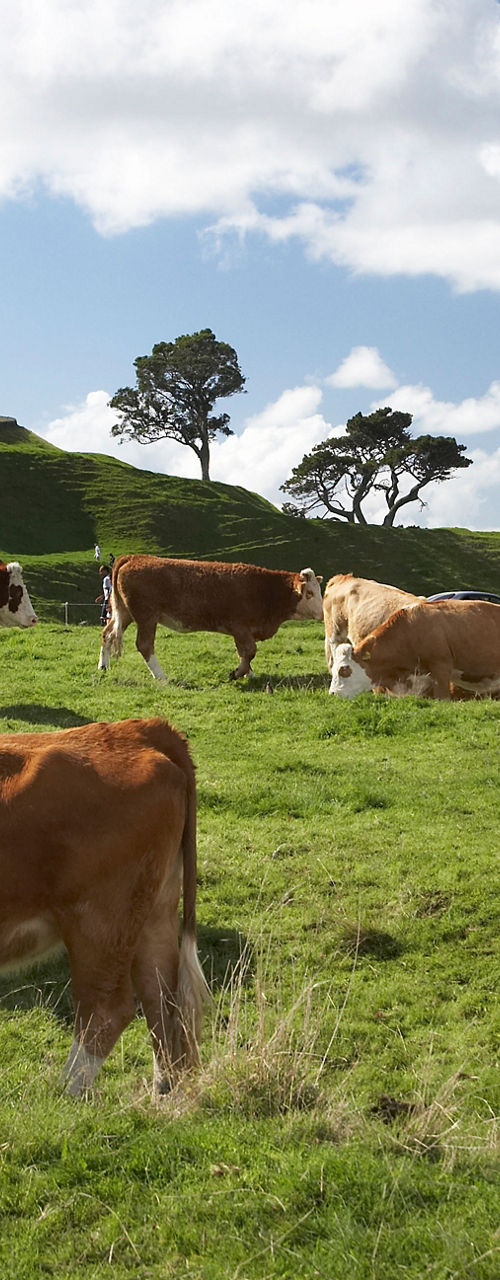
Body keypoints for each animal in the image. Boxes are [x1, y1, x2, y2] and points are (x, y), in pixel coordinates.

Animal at [0, 717, 210, 1097]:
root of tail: (141, 729)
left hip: (100, 920)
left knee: (107, 1009)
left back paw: (65, 1095)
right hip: (154, 913)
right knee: (160, 997)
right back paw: (163, 1091)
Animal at [98, 555, 324, 681]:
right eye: (309, 593)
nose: (323, 613)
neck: (264, 589)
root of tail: (133, 557)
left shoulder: (242, 632)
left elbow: (243, 653)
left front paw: (249, 673)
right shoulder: (240, 627)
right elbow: (249, 652)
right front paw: (237, 673)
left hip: (123, 614)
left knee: (107, 634)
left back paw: (103, 665)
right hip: (146, 617)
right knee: (144, 645)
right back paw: (161, 677)